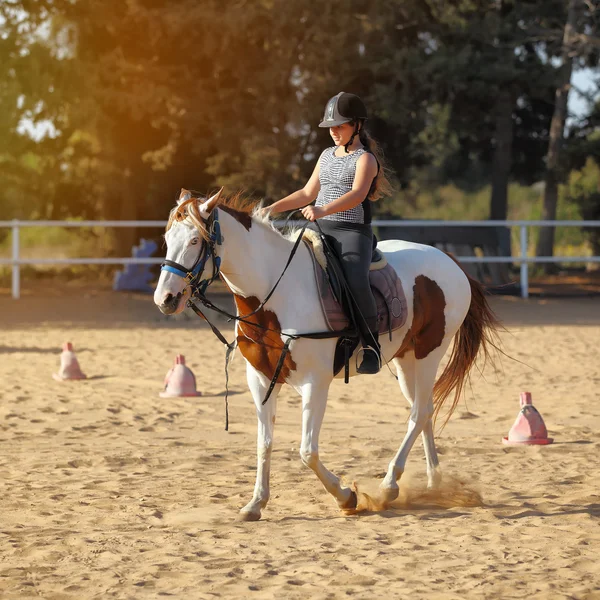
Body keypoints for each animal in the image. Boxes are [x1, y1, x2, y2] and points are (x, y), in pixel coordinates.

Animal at [155, 189, 502, 520]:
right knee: (425, 411)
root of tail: (450, 260)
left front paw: (347, 497)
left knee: (419, 413)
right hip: (407, 361)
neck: (277, 294)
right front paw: (255, 504)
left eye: (195, 240)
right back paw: (433, 484)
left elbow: (307, 452)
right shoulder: (260, 380)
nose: (165, 299)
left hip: (430, 353)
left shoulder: (315, 383)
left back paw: (389, 485)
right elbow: (264, 443)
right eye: (168, 240)